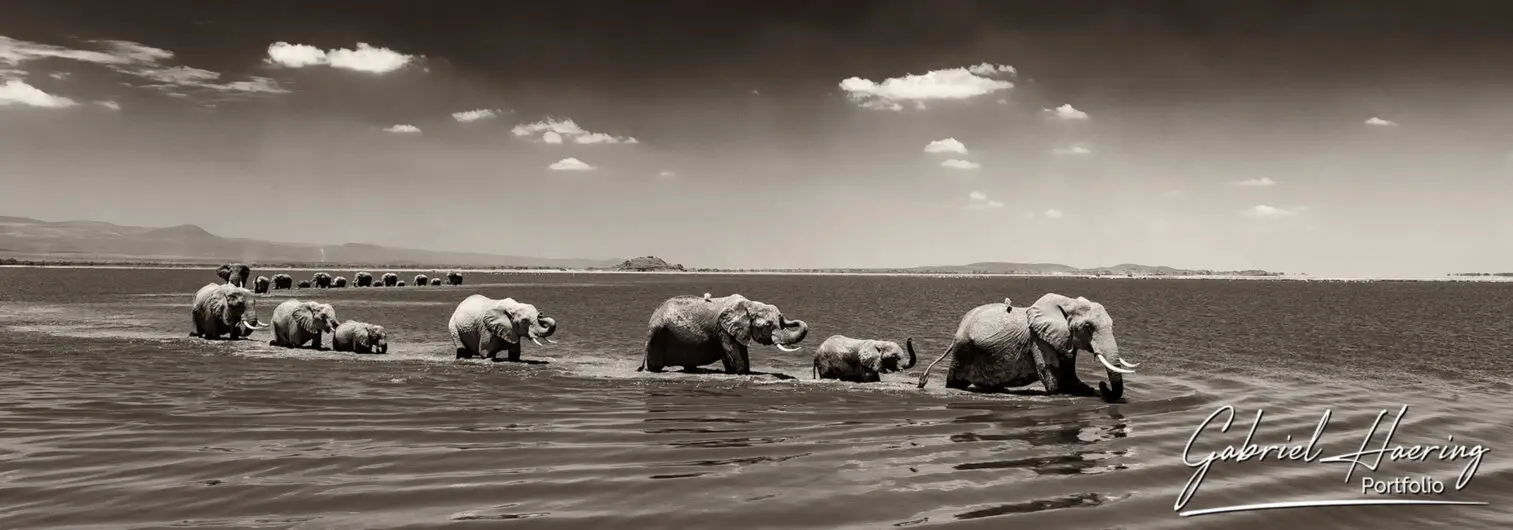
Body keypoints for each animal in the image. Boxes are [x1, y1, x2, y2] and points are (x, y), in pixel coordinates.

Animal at [639, 293, 808, 375]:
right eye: (767, 325)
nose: (782, 315)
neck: (749, 304)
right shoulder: (724, 328)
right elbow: (734, 350)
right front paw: (742, 372)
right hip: (657, 334)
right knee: (655, 364)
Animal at [916, 294, 1139, 402]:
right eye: (1088, 327)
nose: (1103, 385)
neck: (1067, 302)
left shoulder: (1063, 339)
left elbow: (1070, 378)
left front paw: (1091, 391)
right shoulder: (1037, 339)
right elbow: (1052, 378)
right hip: (963, 349)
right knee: (955, 382)